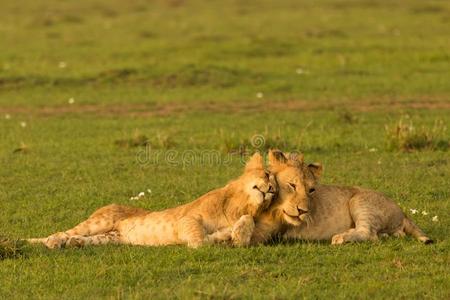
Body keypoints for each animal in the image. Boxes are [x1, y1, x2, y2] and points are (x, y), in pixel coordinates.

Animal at [27, 152, 278, 248]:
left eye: (275, 193)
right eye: (267, 175)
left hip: (111, 238)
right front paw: (209, 240)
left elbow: (245, 224)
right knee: (59, 232)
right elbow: (199, 240)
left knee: (85, 239)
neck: (238, 205)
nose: (271, 190)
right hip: (99, 222)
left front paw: (231, 236)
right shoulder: (187, 218)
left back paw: (74, 243)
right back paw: (52, 241)